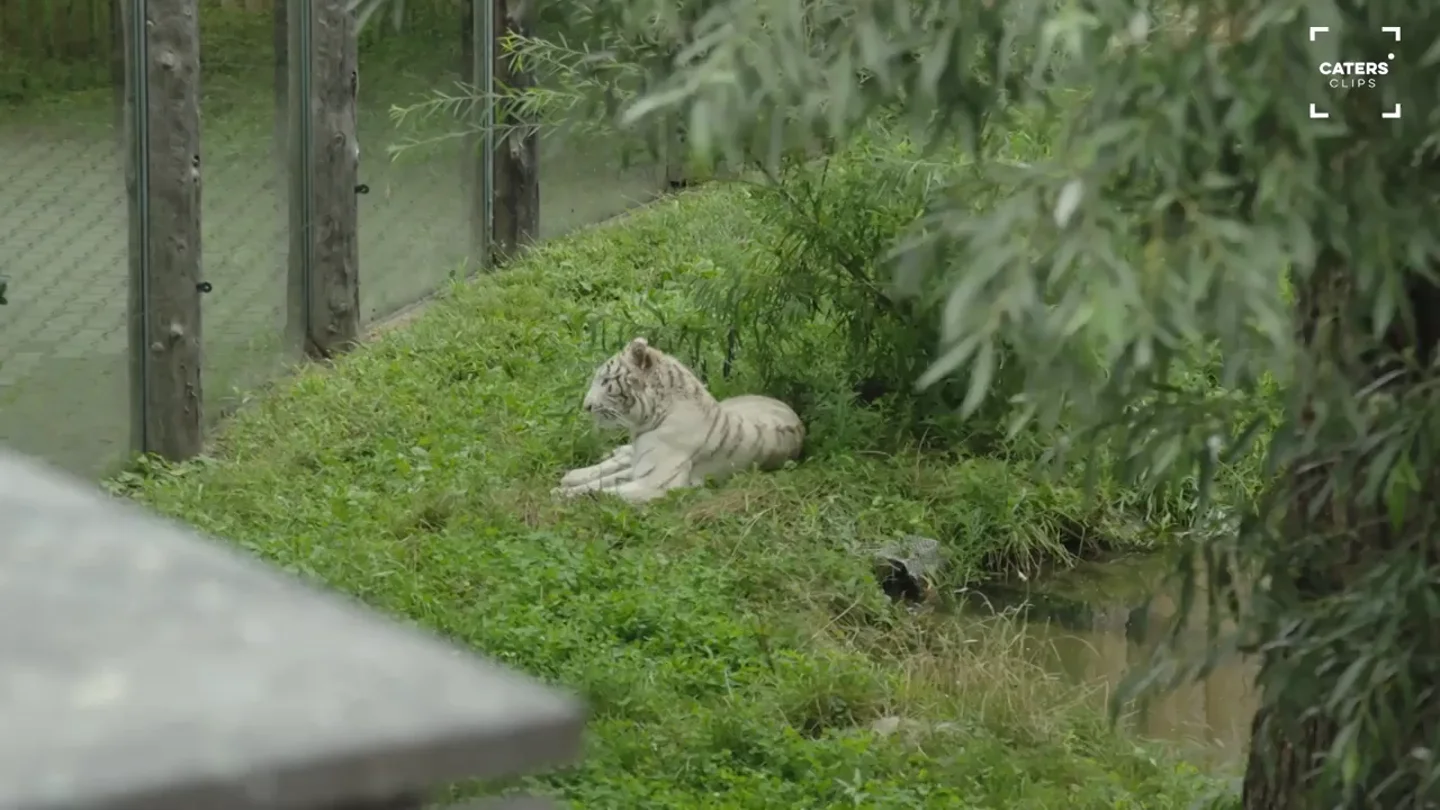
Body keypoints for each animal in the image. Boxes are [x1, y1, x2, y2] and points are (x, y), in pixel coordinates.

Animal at [553, 336, 806, 504]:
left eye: (606, 382)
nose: (586, 406)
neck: (649, 419)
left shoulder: (656, 482)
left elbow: (603, 490)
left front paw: (561, 494)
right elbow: (603, 481)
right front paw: (567, 485)